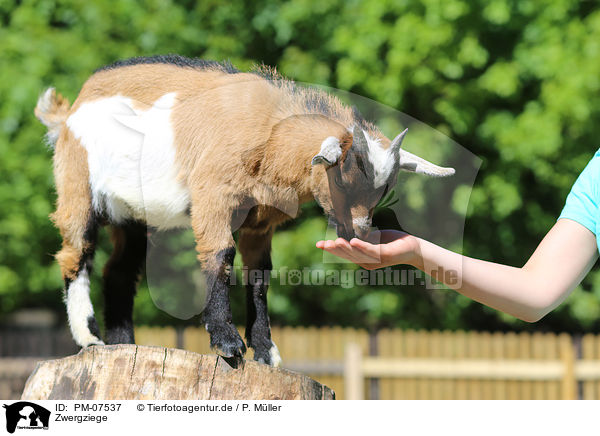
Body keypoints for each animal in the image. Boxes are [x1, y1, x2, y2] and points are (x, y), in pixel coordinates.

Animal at [35, 55, 452, 368]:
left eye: (384, 191)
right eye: (343, 179)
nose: (361, 232)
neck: (269, 132)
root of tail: (67, 113)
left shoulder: (261, 221)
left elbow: (260, 276)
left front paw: (266, 352)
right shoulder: (212, 196)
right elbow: (220, 255)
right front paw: (227, 342)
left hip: (130, 213)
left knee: (119, 270)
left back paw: (123, 345)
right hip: (77, 186)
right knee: (75, 254)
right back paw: (90, 338)